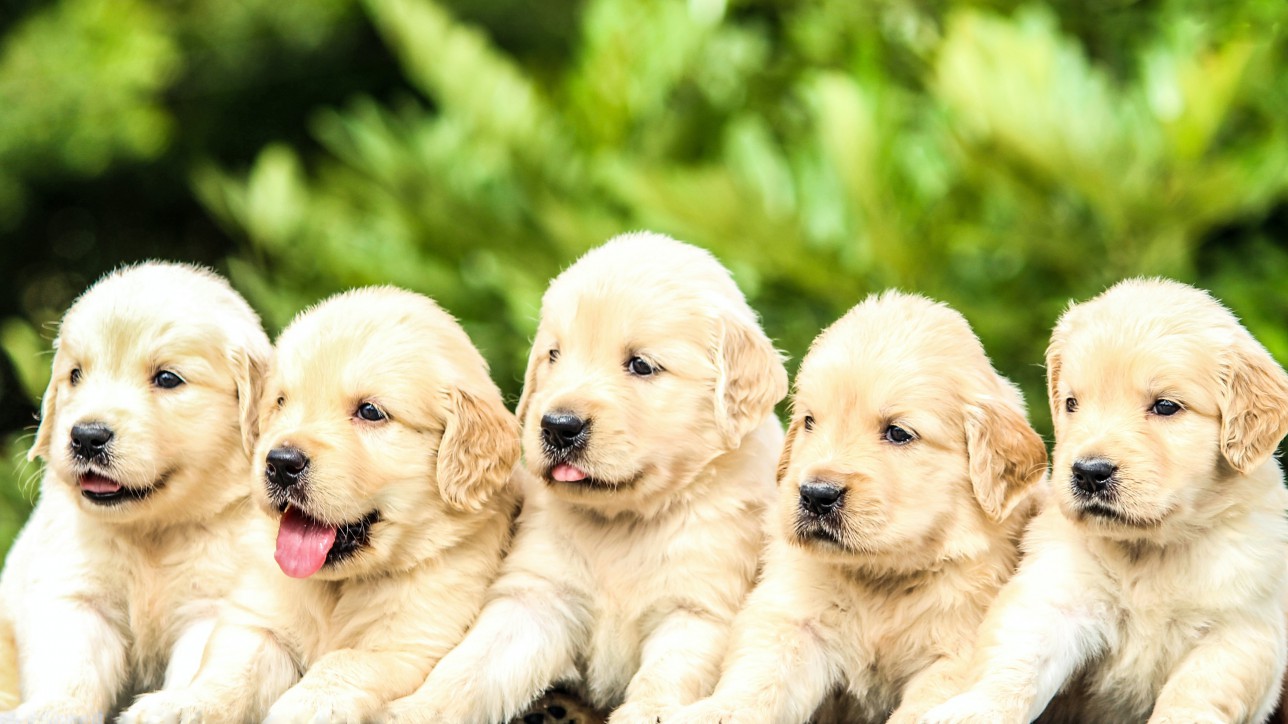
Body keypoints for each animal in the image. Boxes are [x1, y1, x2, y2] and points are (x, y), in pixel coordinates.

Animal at [0, 261, 269, 716]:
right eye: (75, 374)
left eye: (167, 378)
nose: (86, 436)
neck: (152, 533)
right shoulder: (76, 593)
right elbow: (70, 667)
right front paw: (51, 708)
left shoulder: (213, 603)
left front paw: (179, 707)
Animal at [121, 287, 522, 721]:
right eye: (280, 402)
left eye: (370, 411)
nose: (280, 463)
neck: (338, 587)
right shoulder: (260, 619)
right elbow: (229, 670)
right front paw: (182, 705)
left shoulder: (409, 646)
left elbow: (343, 662)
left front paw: (303, 707)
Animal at [383, 230, 783, 721]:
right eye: (554, 355)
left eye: (641, 365)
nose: (558, 426)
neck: (625, 522)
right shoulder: (536, 596)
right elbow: (470, 667)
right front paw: (413, 709)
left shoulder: (698, 610)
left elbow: (663, 679)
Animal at [669, 289, 1051, 721]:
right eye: (809, 422)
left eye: (898, 433)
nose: (816, 495)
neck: (882, 578)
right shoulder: (793, 621)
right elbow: (758, 680)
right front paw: (716, 710)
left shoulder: (956, 653)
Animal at [927, 276, 1288, 721]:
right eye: (1072, 403)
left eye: (1165, 406)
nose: (1088, 473)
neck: (1150, 551)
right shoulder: (1059, 592)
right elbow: (1018, 659)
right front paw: (977, 709)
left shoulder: (1240, 631)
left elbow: (1195, 695)